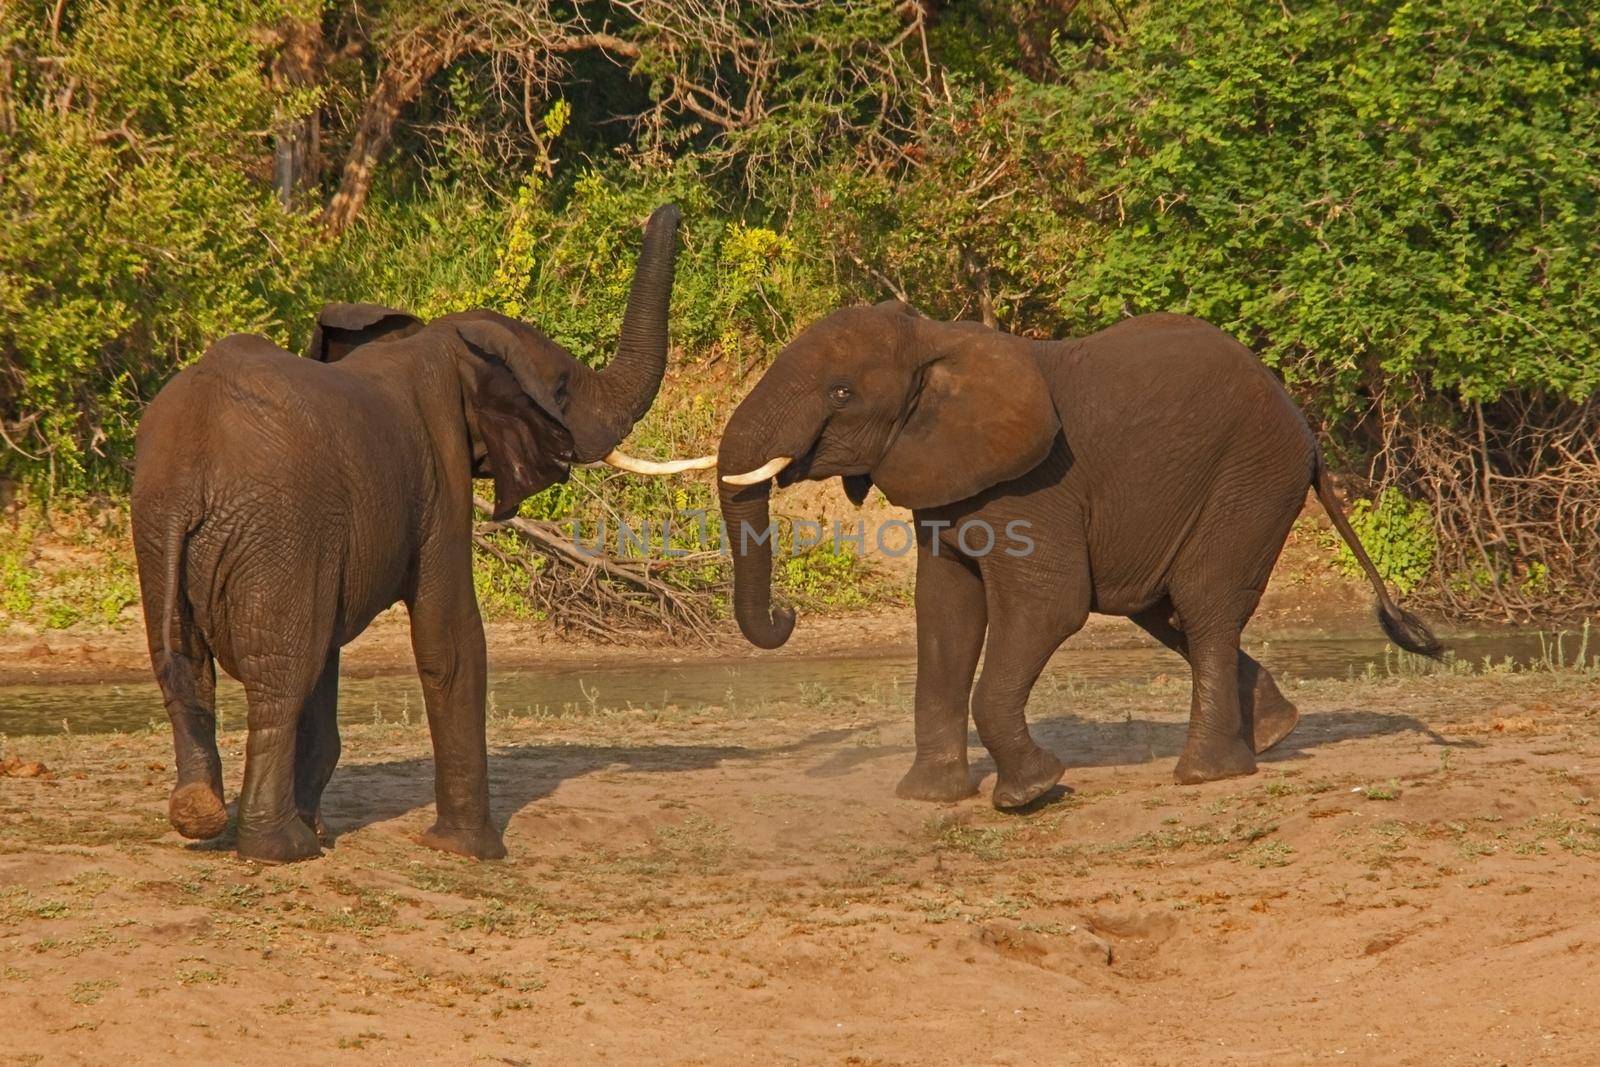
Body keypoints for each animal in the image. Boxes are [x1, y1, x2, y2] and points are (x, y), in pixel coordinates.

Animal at [134, 204, 710, 863]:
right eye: (561, 389)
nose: (670, 209)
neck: (443, 343)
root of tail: (190, 472)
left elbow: (331, 654)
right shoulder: (439, 472)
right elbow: (449, 638)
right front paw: (473, 852)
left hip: (162, 532)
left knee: (187, 668)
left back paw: (205, 816)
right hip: (271, 528)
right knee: (280, 675)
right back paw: (283, 849)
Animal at [713, 300, 1440, 809]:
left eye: (841, 393)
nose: (786, 614)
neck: (937, 342)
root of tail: (1308, 436)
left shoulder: (1034, 486)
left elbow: (1047, 606)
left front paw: (1031, 794)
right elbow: (945, 615)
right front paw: (929, 797)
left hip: (1252, 478)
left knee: (1204, 604)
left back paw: (1206, 773)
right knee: (1169, 609)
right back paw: (1274, 734)